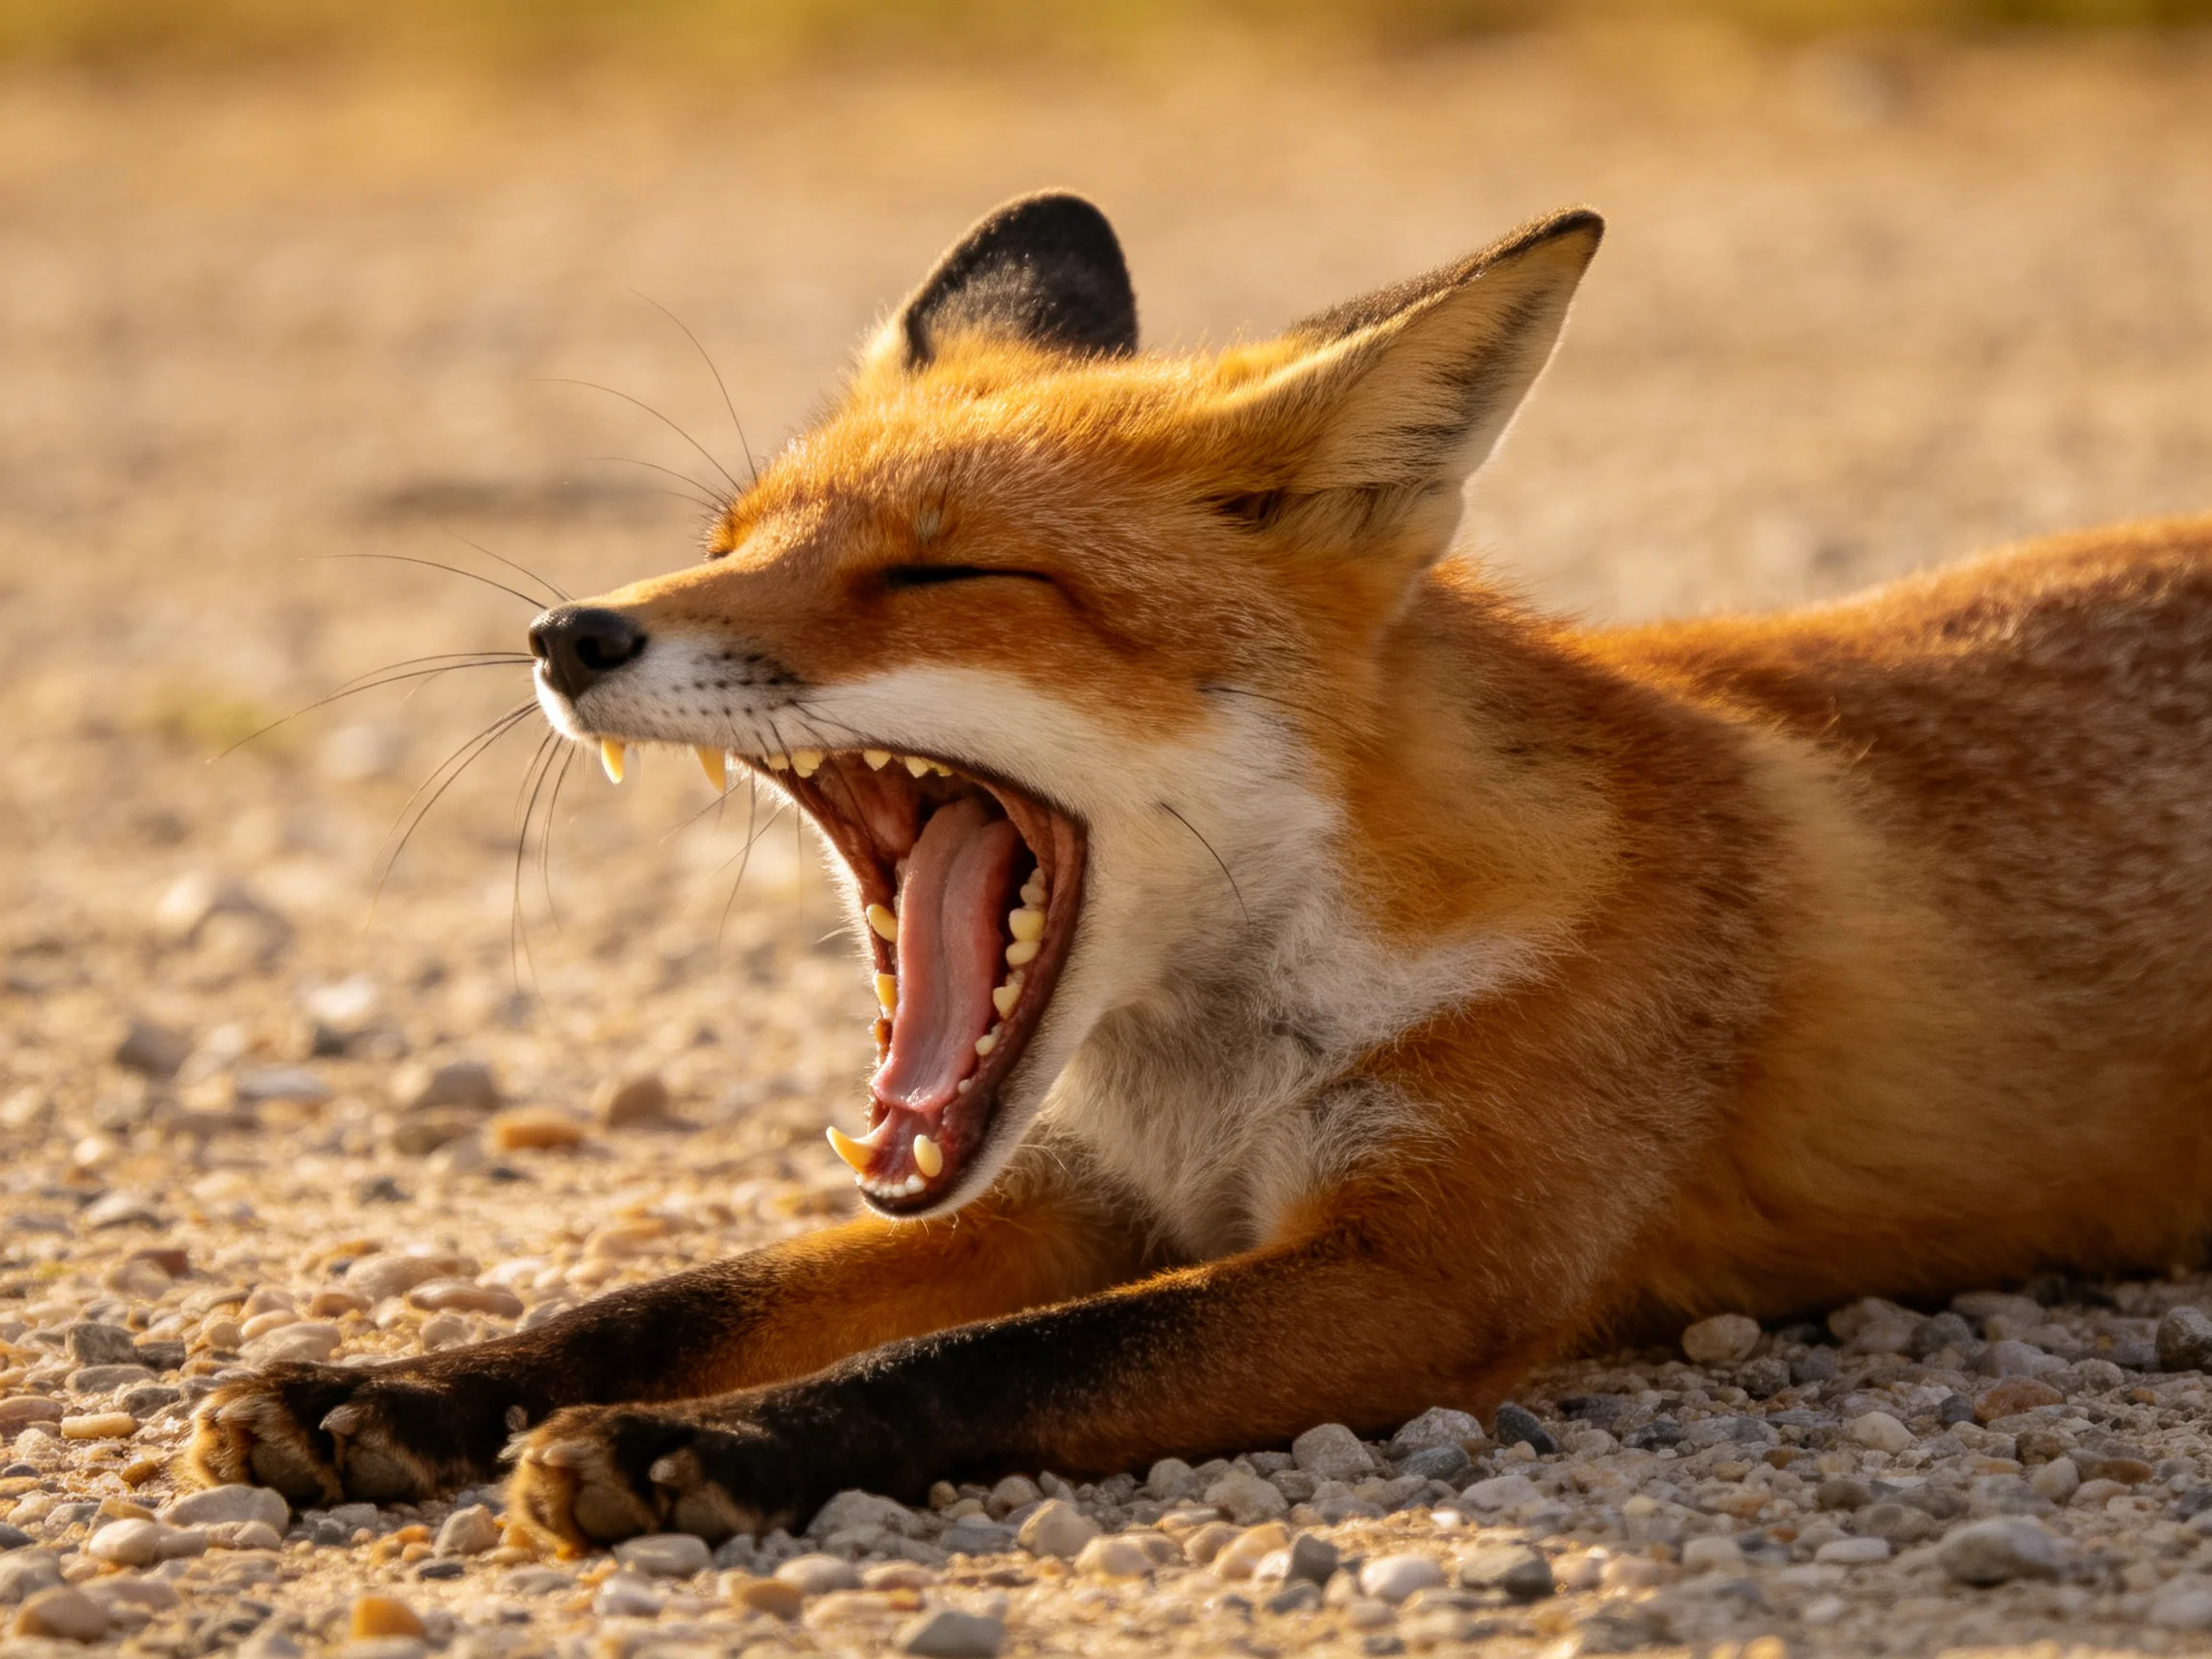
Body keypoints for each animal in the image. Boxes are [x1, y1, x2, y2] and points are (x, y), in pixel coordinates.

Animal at [188, 191, 2212, 1548]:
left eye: (945, 574)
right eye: (733, 538)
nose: (566, 631)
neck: (1225, 1057)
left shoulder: (1422, 1268)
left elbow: (993, 1368)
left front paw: (708, 1450)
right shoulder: (1068, 1190)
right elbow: (680, 1298)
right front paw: (398, 1385)